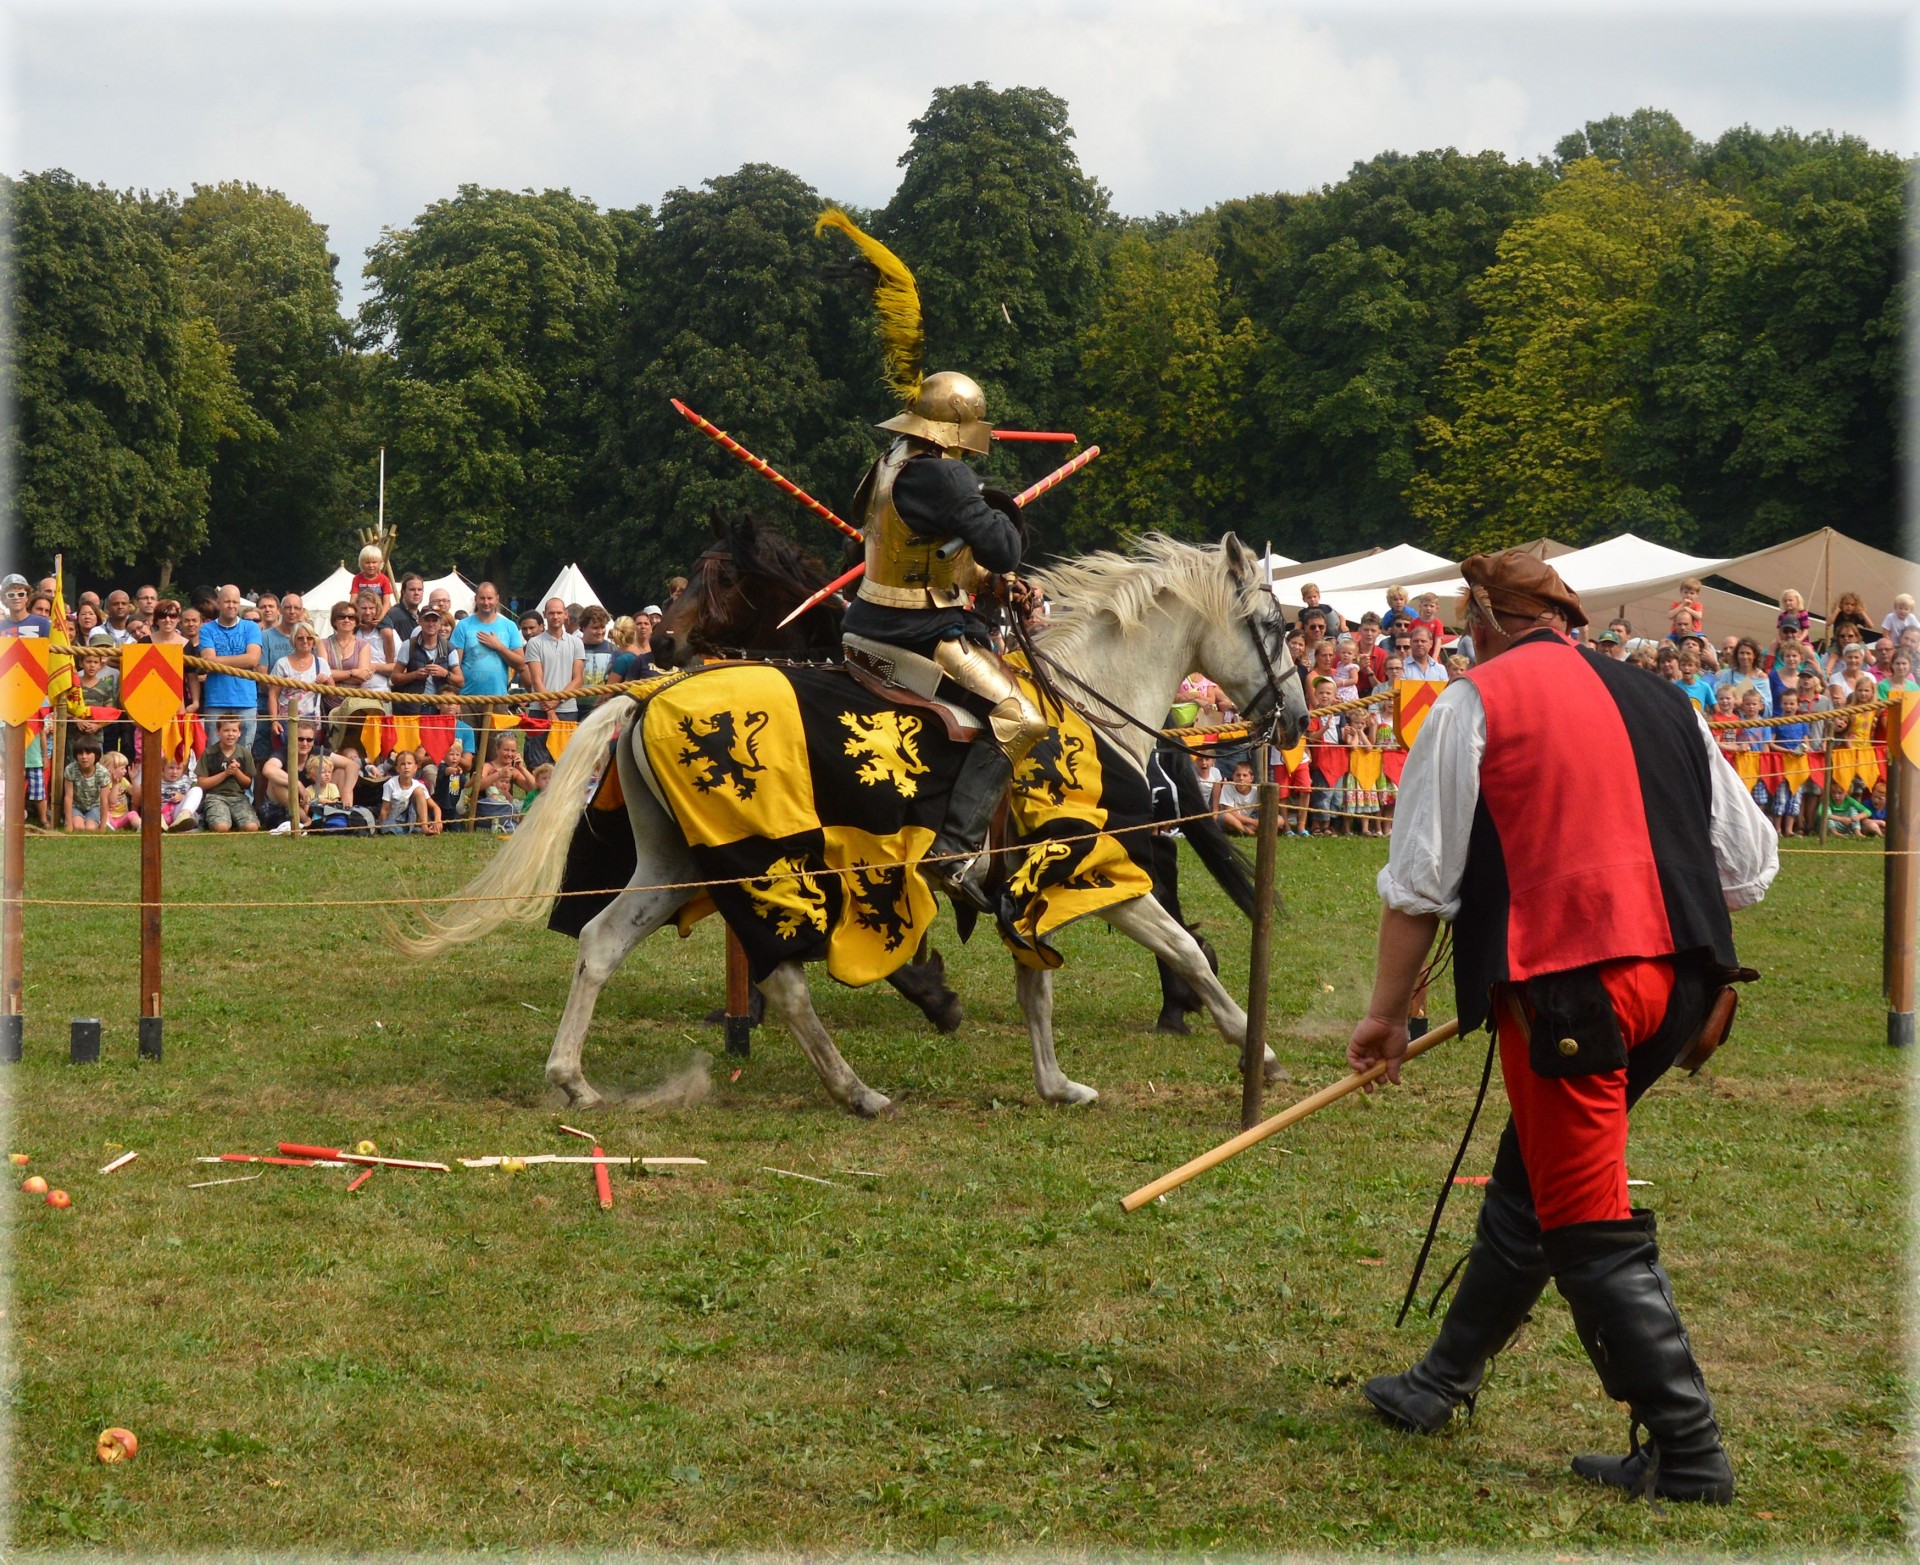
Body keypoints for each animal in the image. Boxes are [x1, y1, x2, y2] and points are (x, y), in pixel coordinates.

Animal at [403, 537, 1305, 1113]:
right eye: (1272, 625)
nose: (1294, 716)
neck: (1084, 703)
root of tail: (647, 697)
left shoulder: (1030, 881)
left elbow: (1038, 983)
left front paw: (1056, 1084)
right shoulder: (1090, 872)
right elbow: (1181, 947)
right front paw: (1255, 1050)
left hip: (676, 865)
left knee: (599, 944)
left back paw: (574, 1078)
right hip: (759, 863)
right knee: (784, 979)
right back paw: (856, 1090)